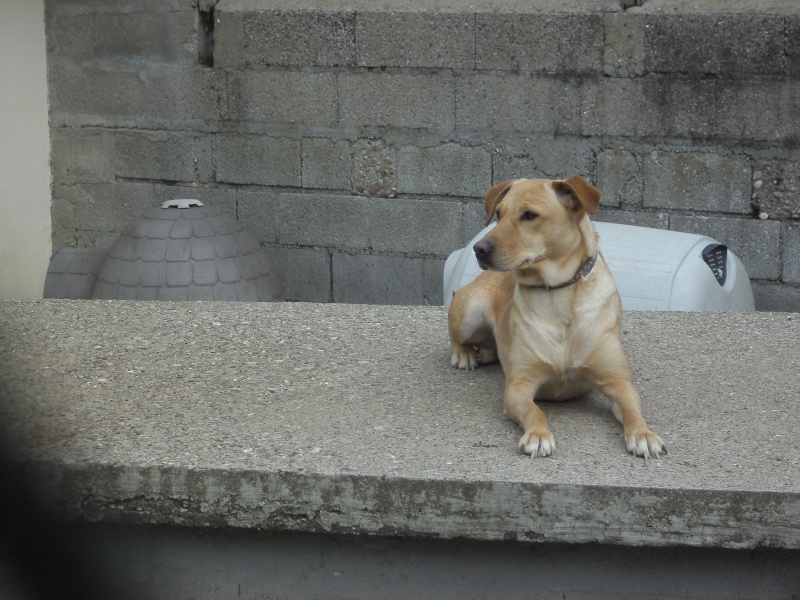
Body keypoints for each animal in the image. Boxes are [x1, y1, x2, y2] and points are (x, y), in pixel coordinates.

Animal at [446, 176, 664, 458]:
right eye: (498, 214)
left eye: (529, 215)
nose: (478, 248)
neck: (558, 294)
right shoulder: (518, 387)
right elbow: (534, 411)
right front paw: (538, 435)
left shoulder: (619, 383)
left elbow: (632, 410)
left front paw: (643, 434)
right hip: (469, 313)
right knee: (458, 335)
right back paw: (465, 354)